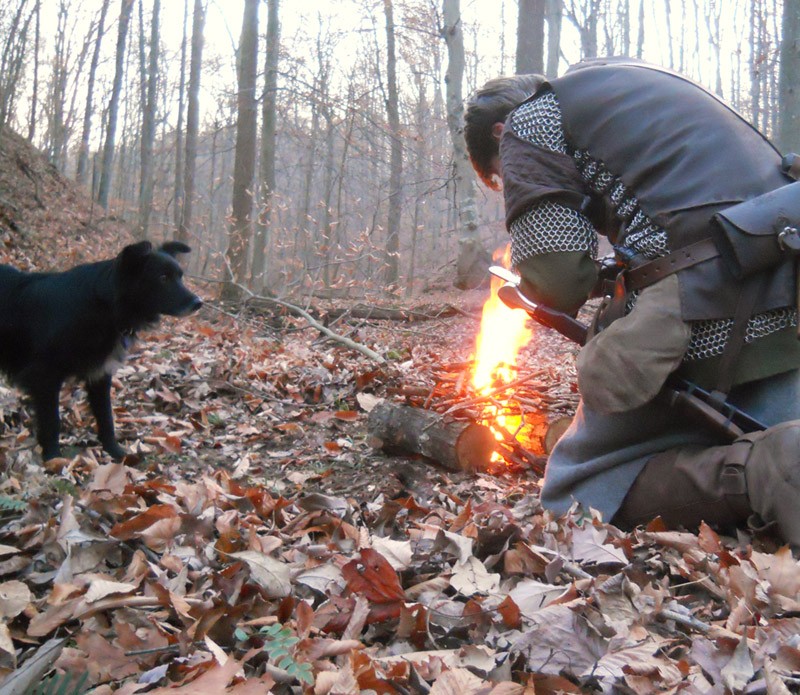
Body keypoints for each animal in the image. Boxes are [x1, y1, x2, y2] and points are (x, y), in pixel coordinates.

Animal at [0, 242, 203, 460]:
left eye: (180, 277)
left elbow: (106, 417)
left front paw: (117, 453)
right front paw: (54, 458)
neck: (105, 307)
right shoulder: (44, 376)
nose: (198, 303)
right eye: (163, 278)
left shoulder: (100, 374)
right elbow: (52, 421)